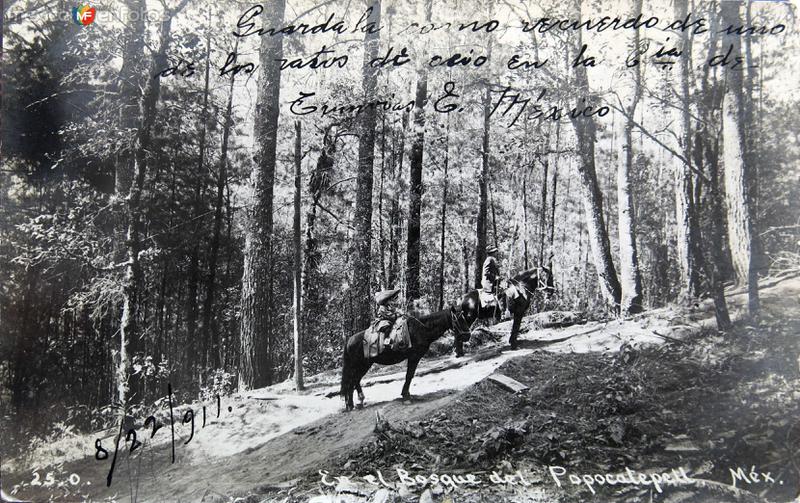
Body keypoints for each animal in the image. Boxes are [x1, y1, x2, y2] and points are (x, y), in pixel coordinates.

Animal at [340, 308, 468, 414]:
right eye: (458, 319)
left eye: (464, 318)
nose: (467, 335)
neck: (422, 329)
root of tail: (349, 340)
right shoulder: (414, 357)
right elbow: (409, 375)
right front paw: (406, 396)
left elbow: (409, 376)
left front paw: (406, 394)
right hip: (360, 365)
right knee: (352, 381)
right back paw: (352, 404)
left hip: (363, 365)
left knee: (355, 380)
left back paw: (355, 402)